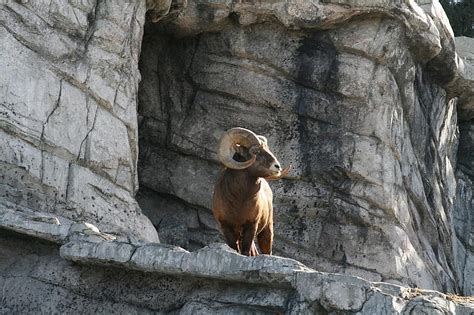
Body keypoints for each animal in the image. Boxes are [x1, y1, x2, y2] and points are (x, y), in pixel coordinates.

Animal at [212, 128, 288, 256]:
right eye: (255, 151)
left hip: (266, 231)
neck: (239, 202)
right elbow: (235, 249)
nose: (277, 167)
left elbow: (245, 252)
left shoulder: (251, 226)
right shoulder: (227, 227)